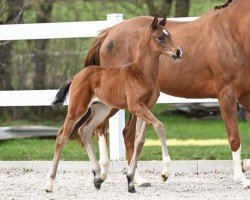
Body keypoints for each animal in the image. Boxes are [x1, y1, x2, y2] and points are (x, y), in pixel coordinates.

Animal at [45, 16, 182, 193]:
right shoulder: (136, 106)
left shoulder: (147, 106)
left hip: (101, 109)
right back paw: (49, 184)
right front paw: (164, 173)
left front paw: (130, 180)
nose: (179, 52)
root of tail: (76, 76)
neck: (142, 73)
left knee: (85, 131)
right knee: (62, 136)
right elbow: (159, 126)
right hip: (77, 109)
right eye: (160, 37)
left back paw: (98, 177)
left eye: (170, 34)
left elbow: (139, 141)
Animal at [83, 0, 250, 188]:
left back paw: (137, 178)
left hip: (135, 104)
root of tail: (110, 33)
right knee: (100, 127)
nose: (178, 52)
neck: (233, 32)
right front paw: (241, 178)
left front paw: (245, 166)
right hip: (116, 100)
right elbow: (234, 137)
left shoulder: (246, 95)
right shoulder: (227, 94)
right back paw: (104, 172)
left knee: (126, 133)